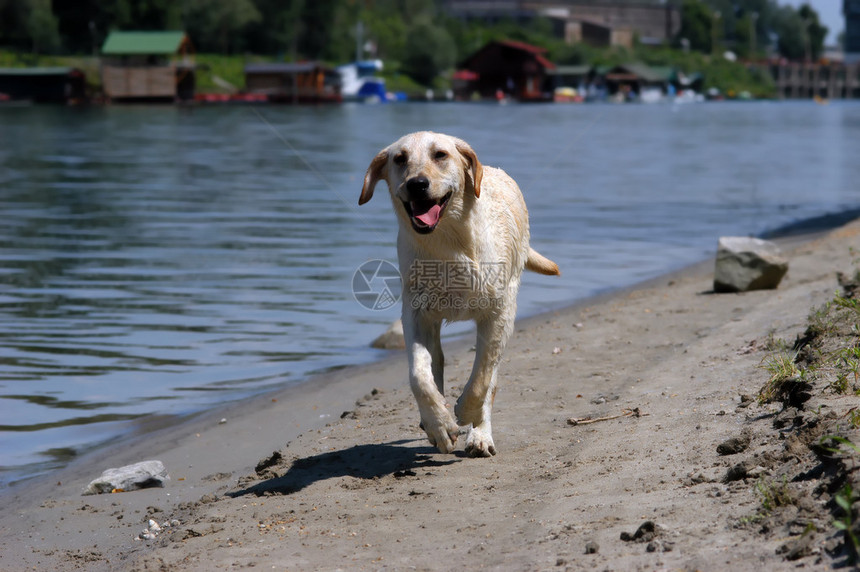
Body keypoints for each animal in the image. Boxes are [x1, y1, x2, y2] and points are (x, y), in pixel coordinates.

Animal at [360, 131, 560, 456]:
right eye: (400, 158)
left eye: (440, 155)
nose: (417, 184)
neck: (449, 245)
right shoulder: (416, 314)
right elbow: (419, 375)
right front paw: (439, 423)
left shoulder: (498, 315)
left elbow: (481, 378)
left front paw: (467, 413)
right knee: (437, 363)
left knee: (490, 377)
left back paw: (480, 435)